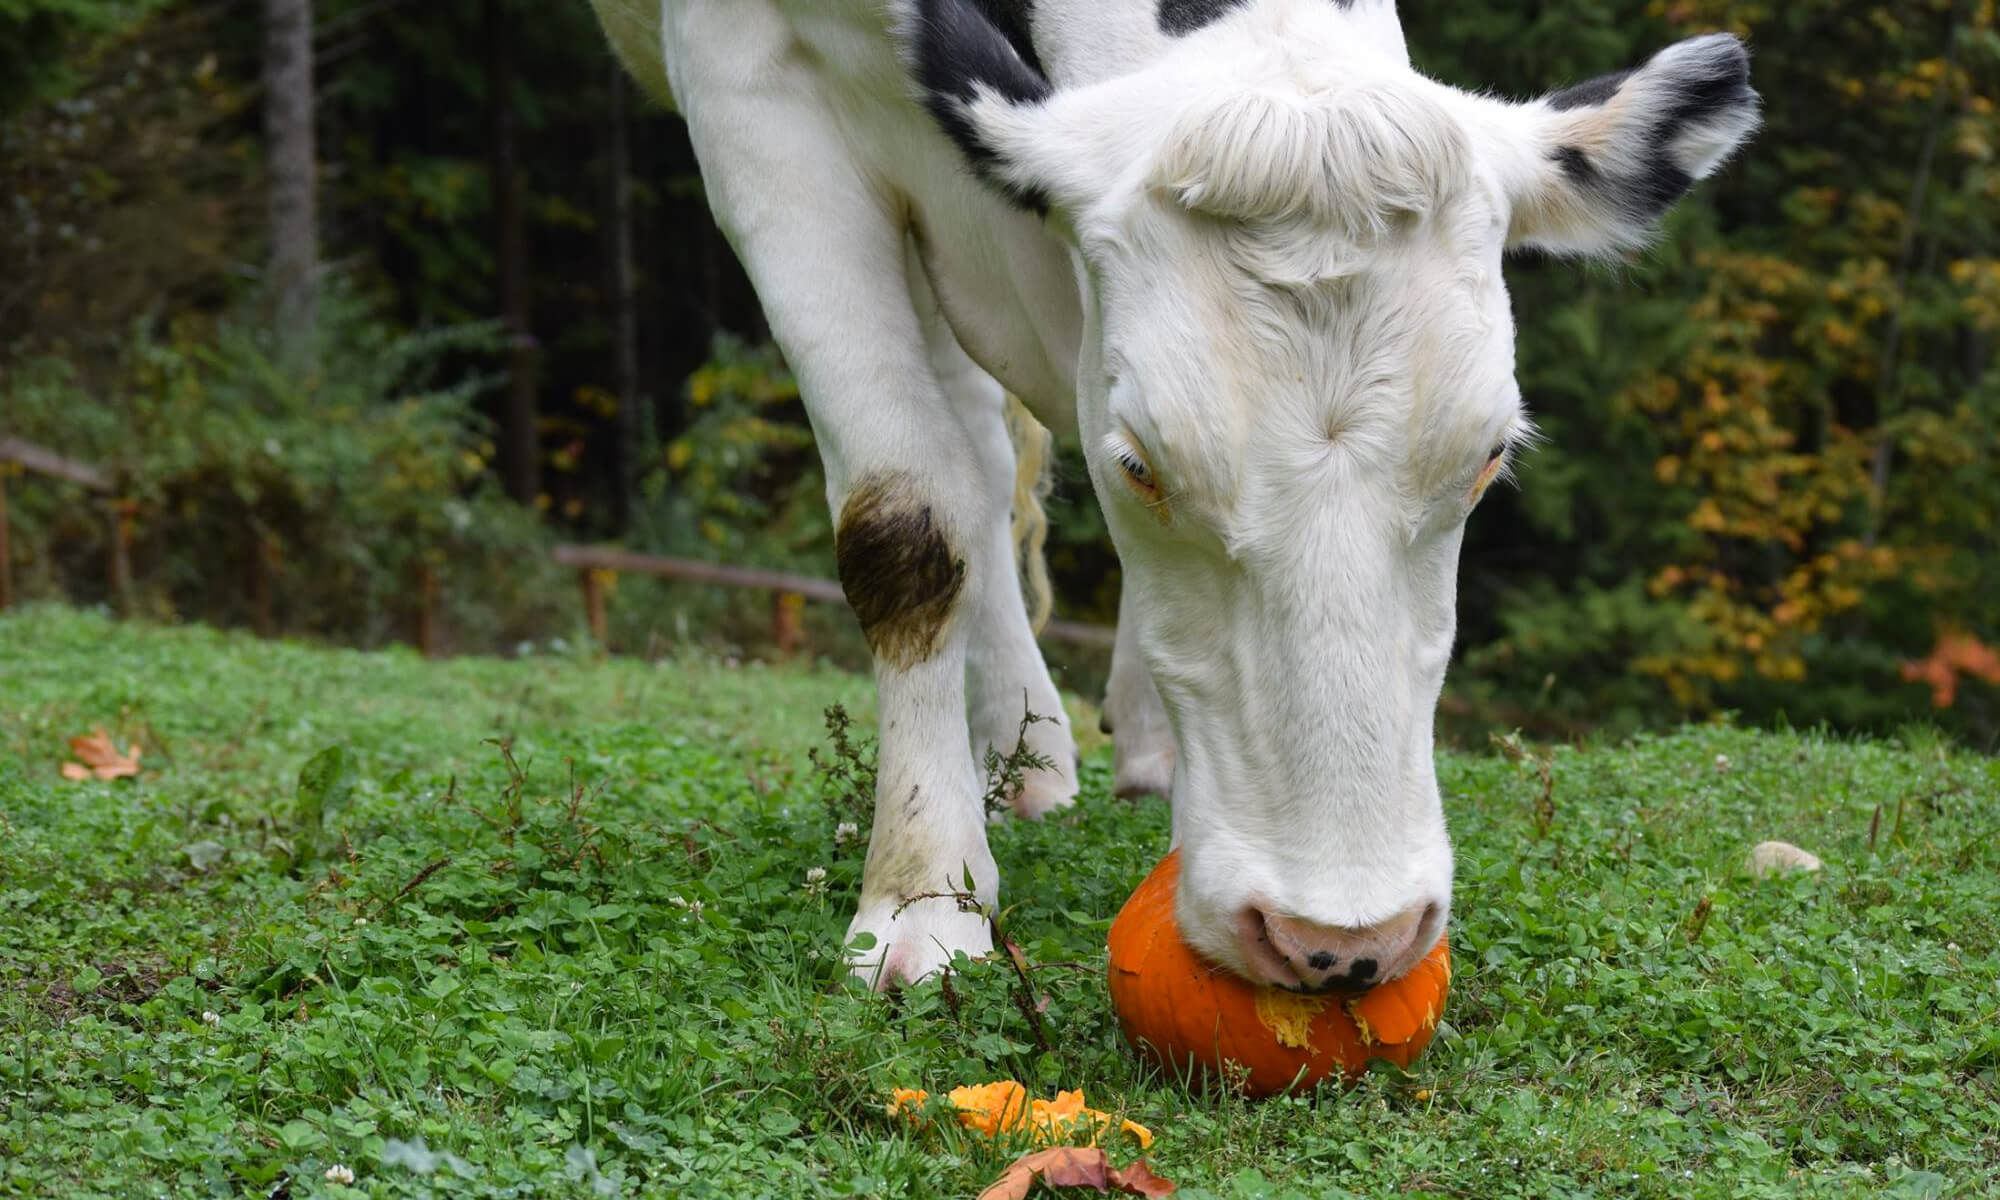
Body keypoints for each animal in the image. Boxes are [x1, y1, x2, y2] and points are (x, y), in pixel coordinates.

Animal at [586, 0, 1758, 990]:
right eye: (1140, 464)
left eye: (1486, 458)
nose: (1348, 941)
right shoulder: (752, 84)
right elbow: (904, 522)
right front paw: (925, 897)